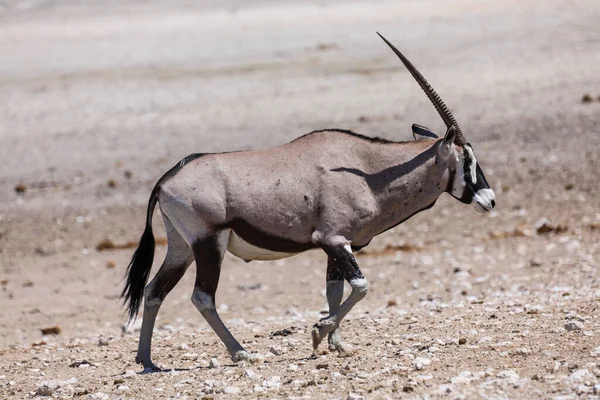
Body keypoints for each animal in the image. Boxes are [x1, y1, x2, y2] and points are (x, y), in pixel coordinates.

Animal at [122, 32, 496, 370]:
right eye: (467, 160)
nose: (490, 201)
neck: (369, 170)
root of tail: (166, 179)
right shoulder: (332, 239)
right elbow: (361, 286)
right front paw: (319, 331)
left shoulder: (339, 246)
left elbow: (335, 290)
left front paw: (336, 342)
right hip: (208, 243)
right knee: (202, 297)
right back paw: (241, 352)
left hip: (182, 247)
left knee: (154, 290)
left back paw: (147, 360)